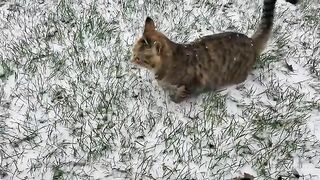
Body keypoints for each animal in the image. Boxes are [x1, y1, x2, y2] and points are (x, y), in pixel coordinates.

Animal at [131, 0, 298, 102]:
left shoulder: (191, 84)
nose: (131, 60)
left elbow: (180, 95)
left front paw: (173, 101)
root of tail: (251, 42)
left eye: (138, 58)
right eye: (133, 53)